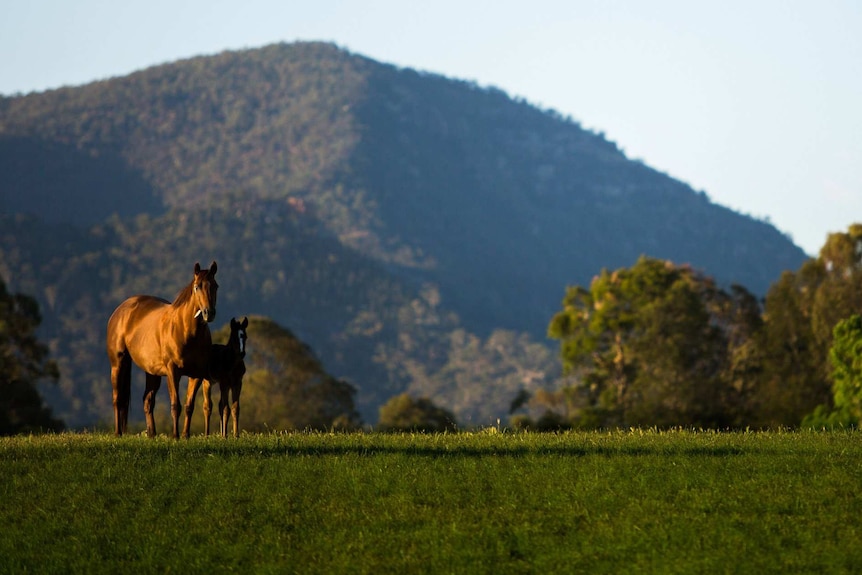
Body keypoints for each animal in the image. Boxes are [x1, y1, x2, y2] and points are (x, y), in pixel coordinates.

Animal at [106, 264, 219, 438]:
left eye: (215, 286)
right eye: (197, 287)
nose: (209, 313)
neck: (185, 330)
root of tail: (120, 310)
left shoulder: (197, 375)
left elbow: (189, 405)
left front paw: (185, 435)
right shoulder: (173, 372)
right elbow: (175, 405)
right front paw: (175, 436)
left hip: (152, 372)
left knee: (147, 400)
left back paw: (152, 434)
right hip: (118, 364)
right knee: (117, 398)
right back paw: (118, 433)